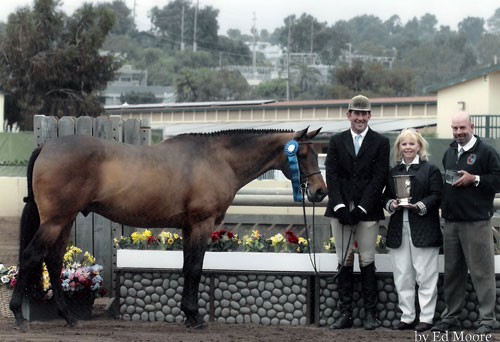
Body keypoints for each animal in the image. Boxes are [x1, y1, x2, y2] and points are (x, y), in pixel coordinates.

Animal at [10, 127, 328, 330]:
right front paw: (196, 318)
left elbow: (187, 267)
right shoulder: (202, 224)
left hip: (65, 220)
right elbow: (196, 268)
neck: (217, 159)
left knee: (53, 261)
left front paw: (187, 314)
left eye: (315, 154)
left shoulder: (189, 227)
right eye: (301, 155)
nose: (320, 191)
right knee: (31, 256)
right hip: (55, 220)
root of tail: (47, 146)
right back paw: (19, 316)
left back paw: (68, 317)